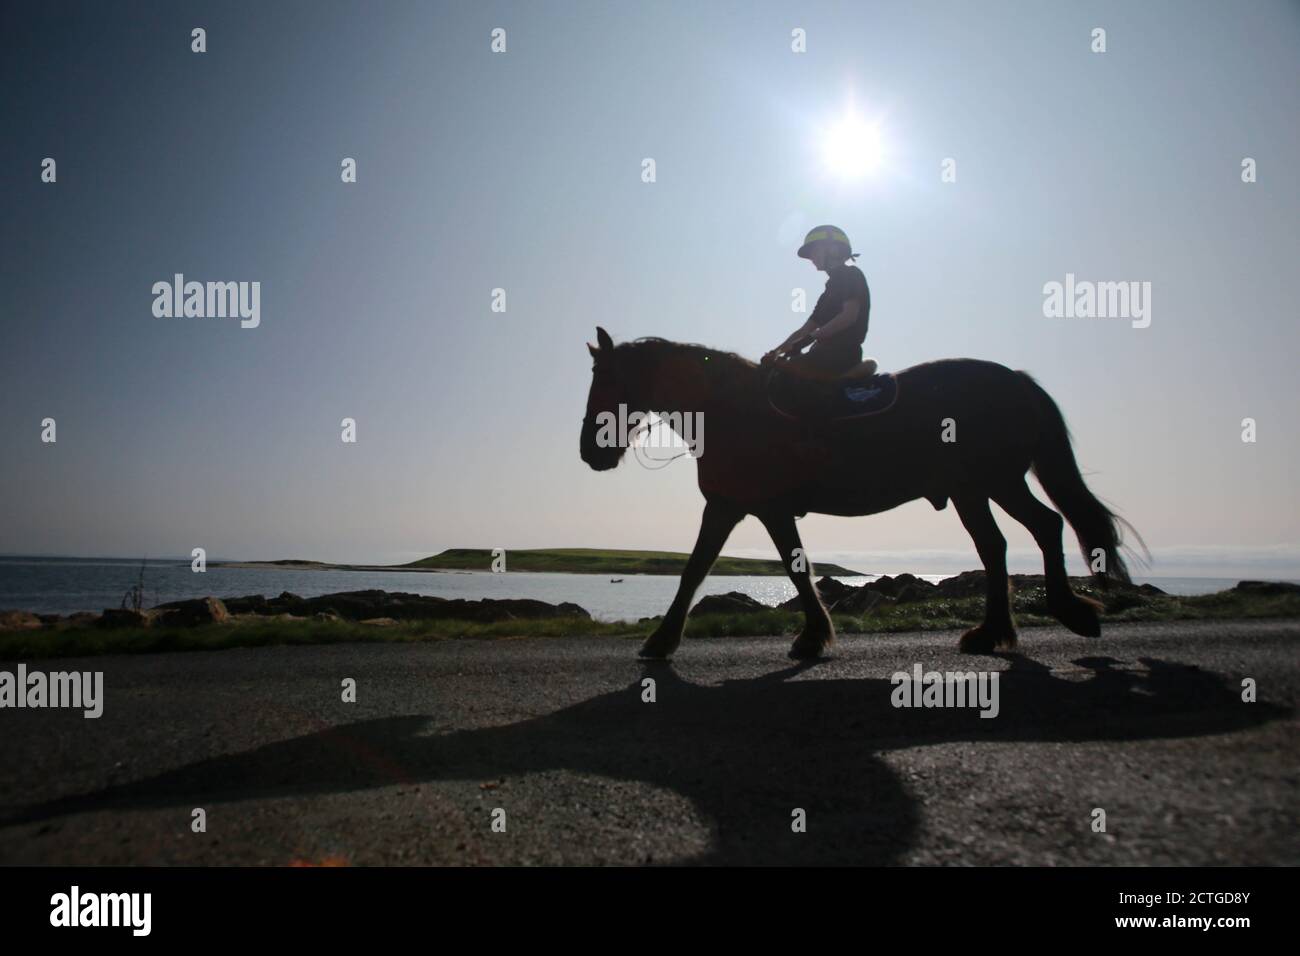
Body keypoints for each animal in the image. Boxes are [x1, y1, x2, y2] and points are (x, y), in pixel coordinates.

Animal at [579, 327, 1138, 658]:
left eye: (604, 379)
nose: (590, 451)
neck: (728, 408)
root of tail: (1016, 381)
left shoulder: (745, 508)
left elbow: (720, 569)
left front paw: (662, 639)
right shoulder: (746, 508)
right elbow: (750, 567)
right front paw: (811, 634)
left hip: (995, 482)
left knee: (1045, 525)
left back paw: (1068, 611)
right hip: (973, 491)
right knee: (997, 546)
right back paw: (993, 630)